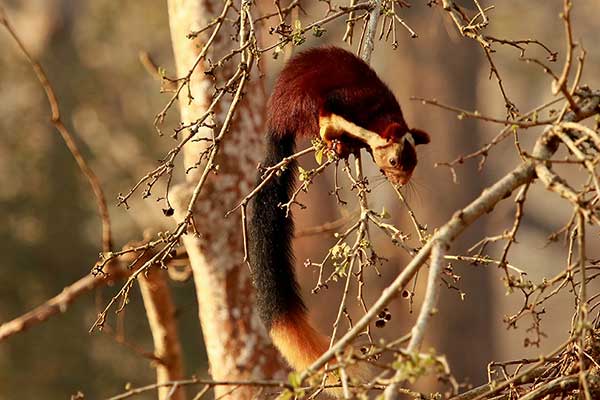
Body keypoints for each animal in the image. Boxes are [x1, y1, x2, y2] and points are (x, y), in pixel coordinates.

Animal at [248, 45, 432, 390]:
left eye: (414, 162)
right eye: (395, 160)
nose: (402, 182)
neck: (376, 118)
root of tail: (276, 120)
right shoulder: (340, 103)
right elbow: (327, 116)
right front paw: (336, 141)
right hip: (300, 105)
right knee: (311, 121)